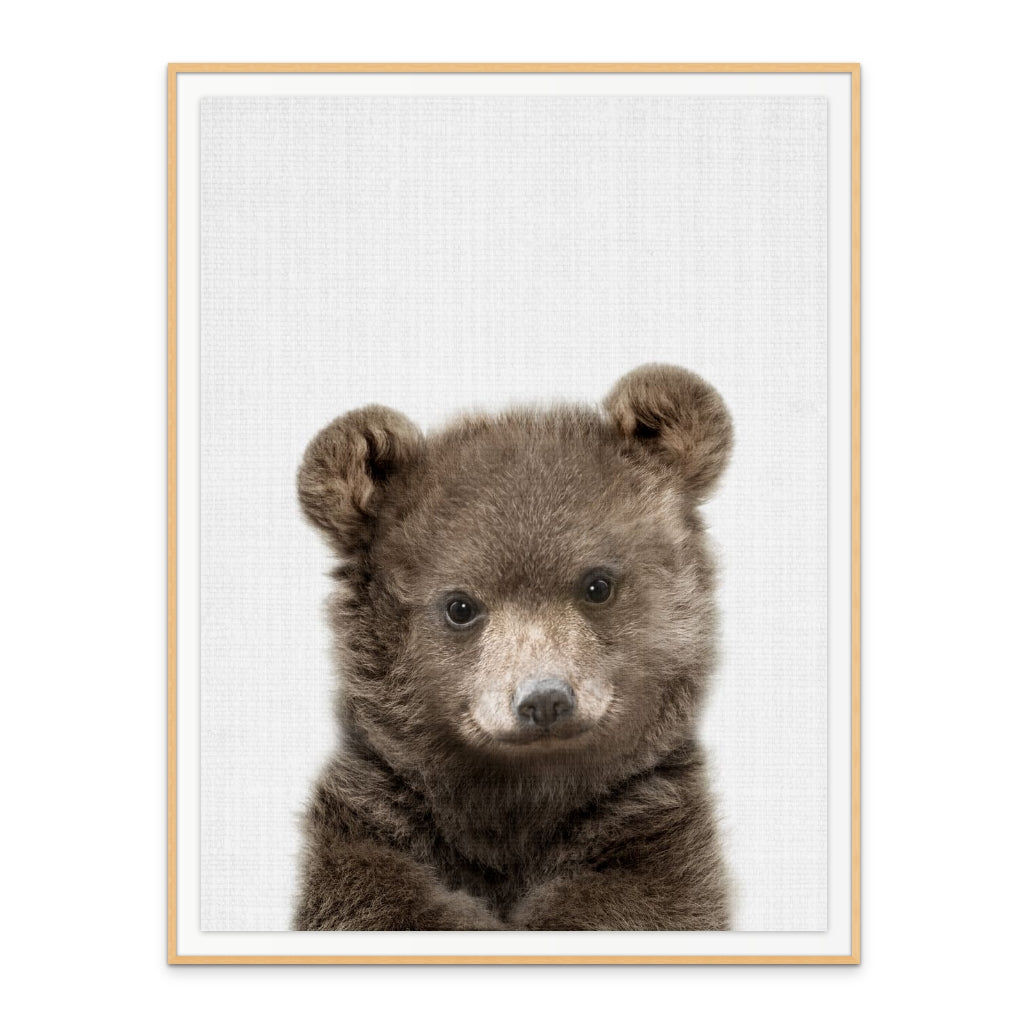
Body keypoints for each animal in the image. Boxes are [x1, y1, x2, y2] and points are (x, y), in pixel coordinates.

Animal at [292, 364, 733, 930]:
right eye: (460, 605)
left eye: (597, 584)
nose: (544, 699)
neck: (518, 803)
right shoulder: (375, 822)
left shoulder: (651, 830)